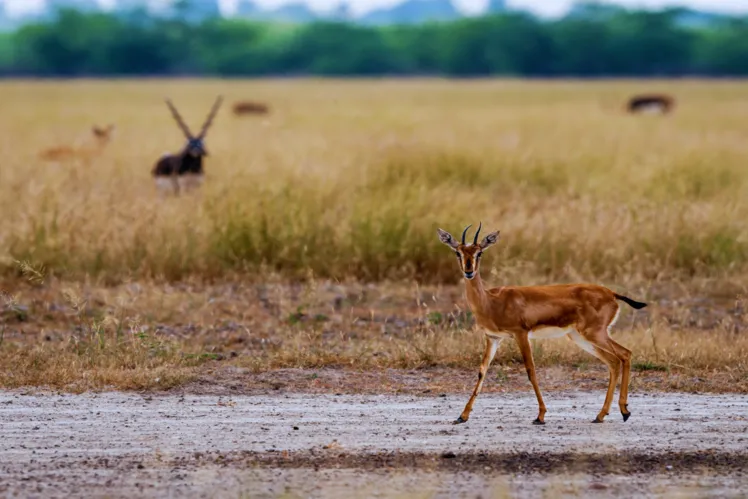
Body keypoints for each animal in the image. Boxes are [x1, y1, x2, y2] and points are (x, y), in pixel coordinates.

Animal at [437, 223, 647, 426]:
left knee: (623, 355)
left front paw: (540, 416)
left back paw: (622, 412)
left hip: (595, 334)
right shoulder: (493, 338)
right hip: (581, 338)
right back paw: (604, 415)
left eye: (479, 252)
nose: (469, 271)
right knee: (615, 360)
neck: (490, 301)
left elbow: (531, 371)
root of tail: (611, 294)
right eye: (458, 252)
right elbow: (482, 372)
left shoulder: (521, 334)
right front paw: (462, 416)